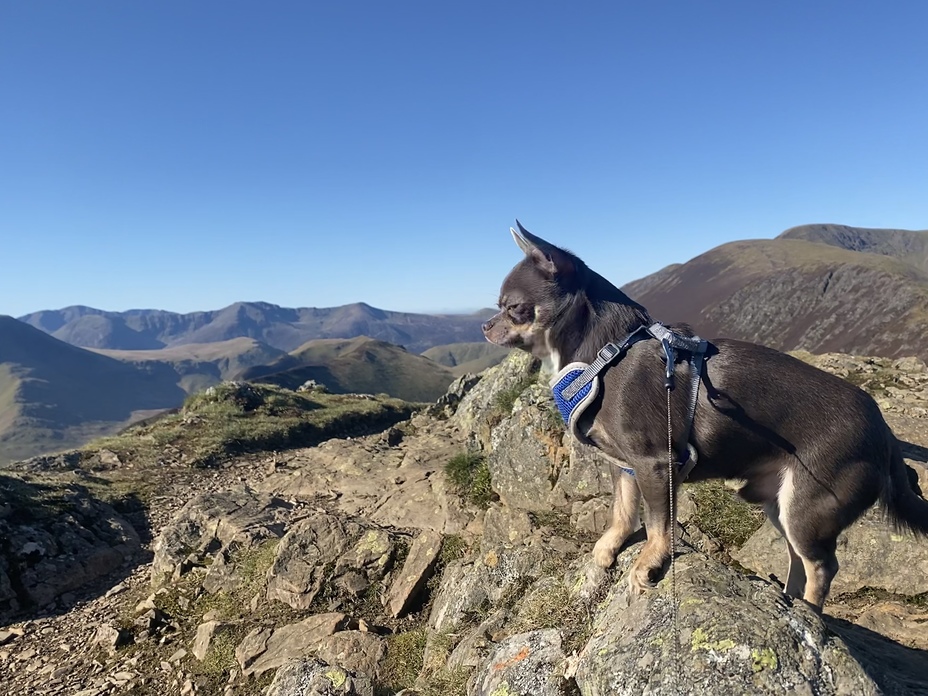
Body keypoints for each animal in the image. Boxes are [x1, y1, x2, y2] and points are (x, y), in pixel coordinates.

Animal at [482, 222, 928, 608]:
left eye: (514, 308)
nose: (486, 325)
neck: (607, 354)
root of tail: (884, 432)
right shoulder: (625, 467)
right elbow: (622, 512)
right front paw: (609, 547)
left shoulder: (656, 464)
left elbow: (658, 523)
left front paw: (649, 563)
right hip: (780, 504)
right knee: (798, 560)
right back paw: (789, 600)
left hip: (807, 508)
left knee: (822, 566)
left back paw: (811, 612)